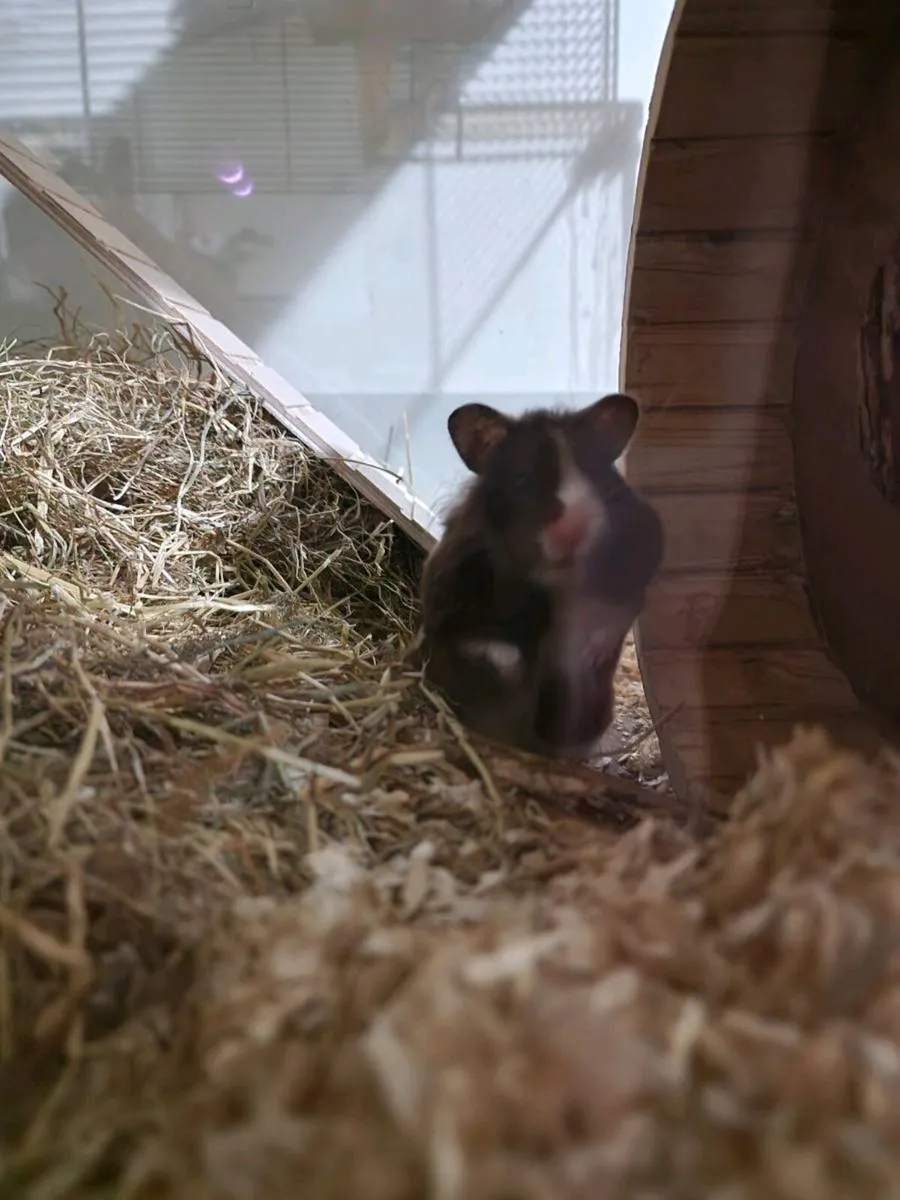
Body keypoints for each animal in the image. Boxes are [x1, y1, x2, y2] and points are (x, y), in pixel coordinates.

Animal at [416, 392, 664, 759]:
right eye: (522, 479)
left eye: (594, 474)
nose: (575, 529)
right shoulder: (453, 596)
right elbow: (496, 654)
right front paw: (521, 677)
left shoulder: (642, 551)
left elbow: (624, 609)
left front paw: (588, 654)